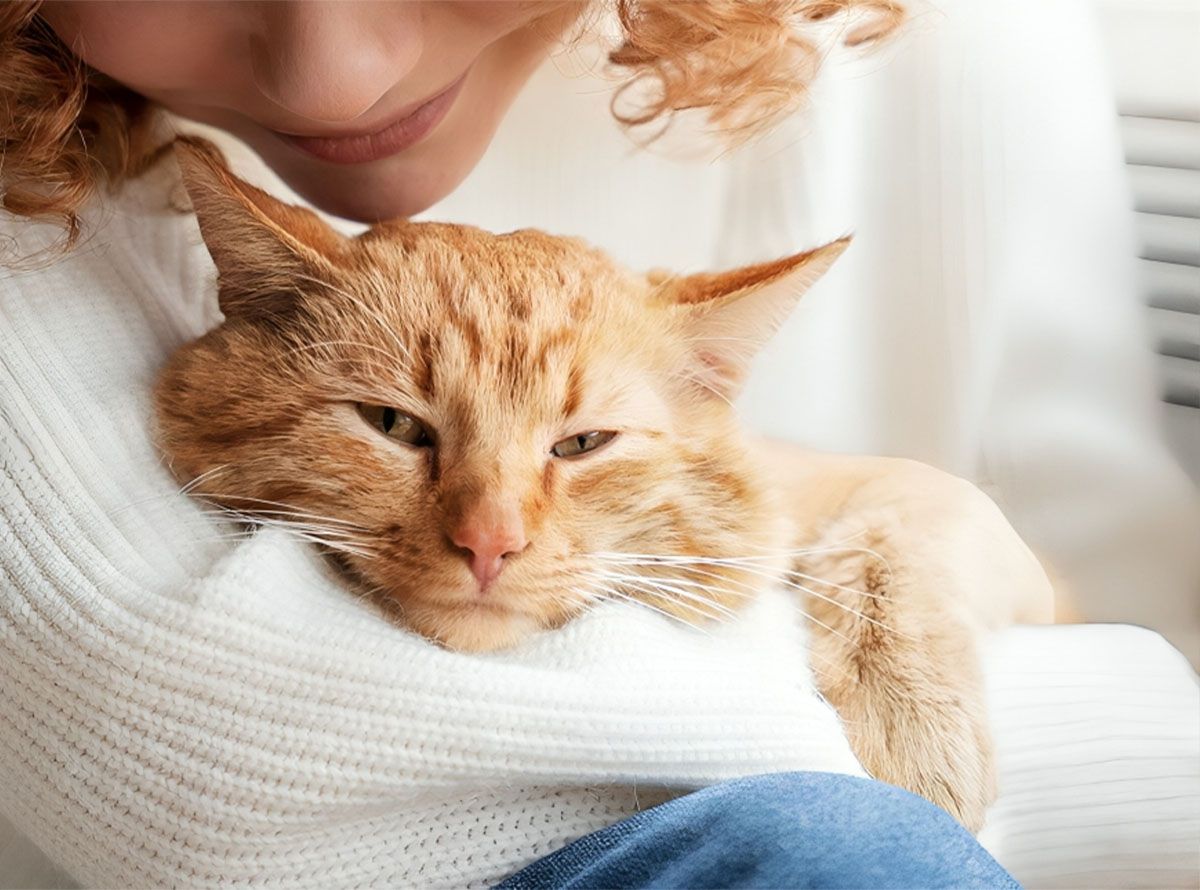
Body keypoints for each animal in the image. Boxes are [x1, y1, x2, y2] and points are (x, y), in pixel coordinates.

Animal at [154, 137, 1056, 830]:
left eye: (582, 444)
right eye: (396, 426)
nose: (489, 544)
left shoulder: (944, 517)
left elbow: (890, 544)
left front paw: (913, 725)